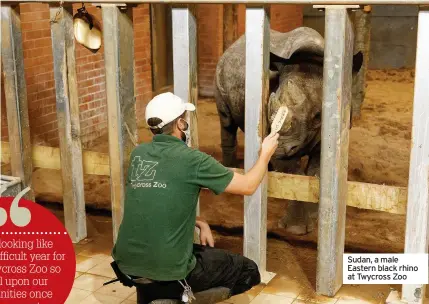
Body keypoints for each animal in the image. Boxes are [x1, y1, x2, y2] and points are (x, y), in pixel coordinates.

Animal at [214, 26, 362, 235]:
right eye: (270, 108)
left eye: (318, 116)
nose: (281, 148)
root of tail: (232, 45)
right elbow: (295, 177)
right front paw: (296, 229)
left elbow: (315, 173)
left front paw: (315, 218)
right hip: (220, 74)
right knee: (226, 121)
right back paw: (231, 174)